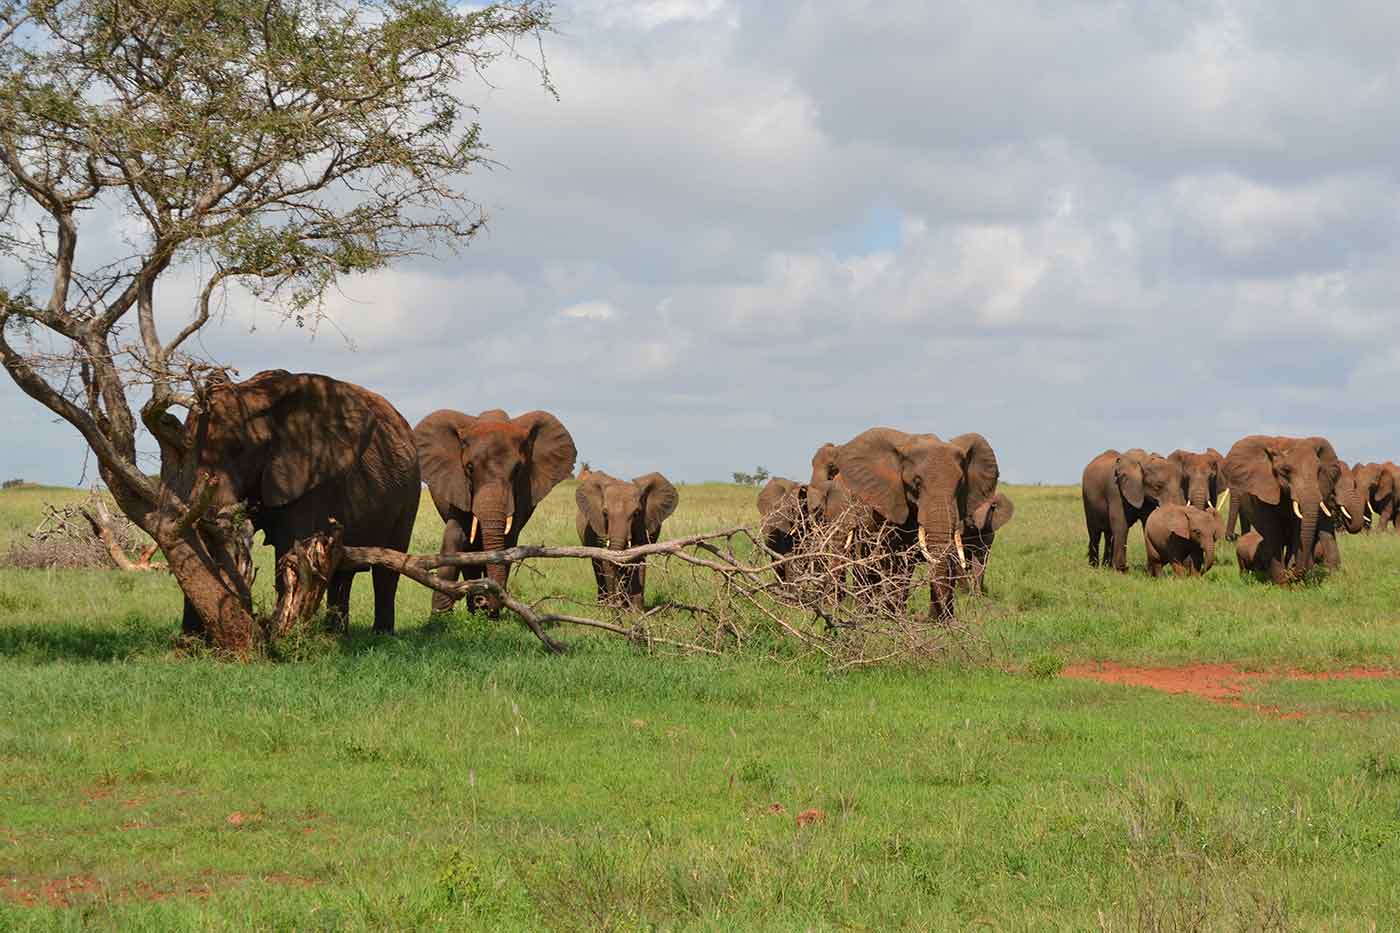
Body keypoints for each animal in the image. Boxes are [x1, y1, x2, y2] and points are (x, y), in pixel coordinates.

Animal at [177, 369, 414, 633]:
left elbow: (290, 546)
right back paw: (336, 634)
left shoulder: (312, 479)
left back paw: (380, 634)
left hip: (409, 492)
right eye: (183, 449)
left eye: (239, 448)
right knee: (342, 571)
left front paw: (279, 633)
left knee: (386, 569)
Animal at [411, 406, 576, 610]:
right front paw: (440, 615)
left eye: (518, 470)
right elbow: (455, 537)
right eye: (469, 468)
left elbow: (508, 542)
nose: (483, 600)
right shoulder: (457, 486)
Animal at [576, 467, 680, 607]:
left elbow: (637, 558)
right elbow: (606, 559)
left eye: (636, 513)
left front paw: (636, 611)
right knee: (597, 566)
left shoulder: (643, 524)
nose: (615, 605)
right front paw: (612, 608)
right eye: (605, 513)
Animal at [1220, 431, 1349, 577]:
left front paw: (1293, 573)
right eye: (1286, 470)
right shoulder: (1263, 491)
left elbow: (1298, 528)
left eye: (1319, 470)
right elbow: (1272, 529)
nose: (1233, 536)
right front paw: (1282, 579)